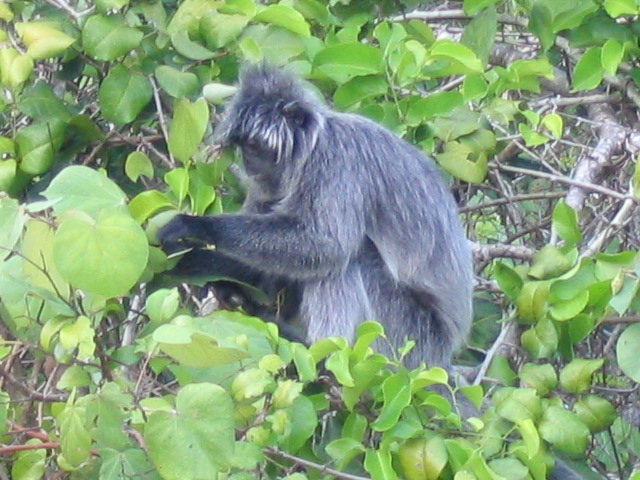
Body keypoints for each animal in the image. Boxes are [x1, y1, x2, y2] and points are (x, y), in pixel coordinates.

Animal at [158, 62, 474, 368]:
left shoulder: (336, 160)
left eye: (256, 146)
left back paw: (321, 354)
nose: (248, 163)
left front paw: (196, 227)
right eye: (245, 147)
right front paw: (198, 262)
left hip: (410, 340)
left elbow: (327, 246)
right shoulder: (269, 184)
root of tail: (443, 354)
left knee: (349, 258)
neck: (312, 146)